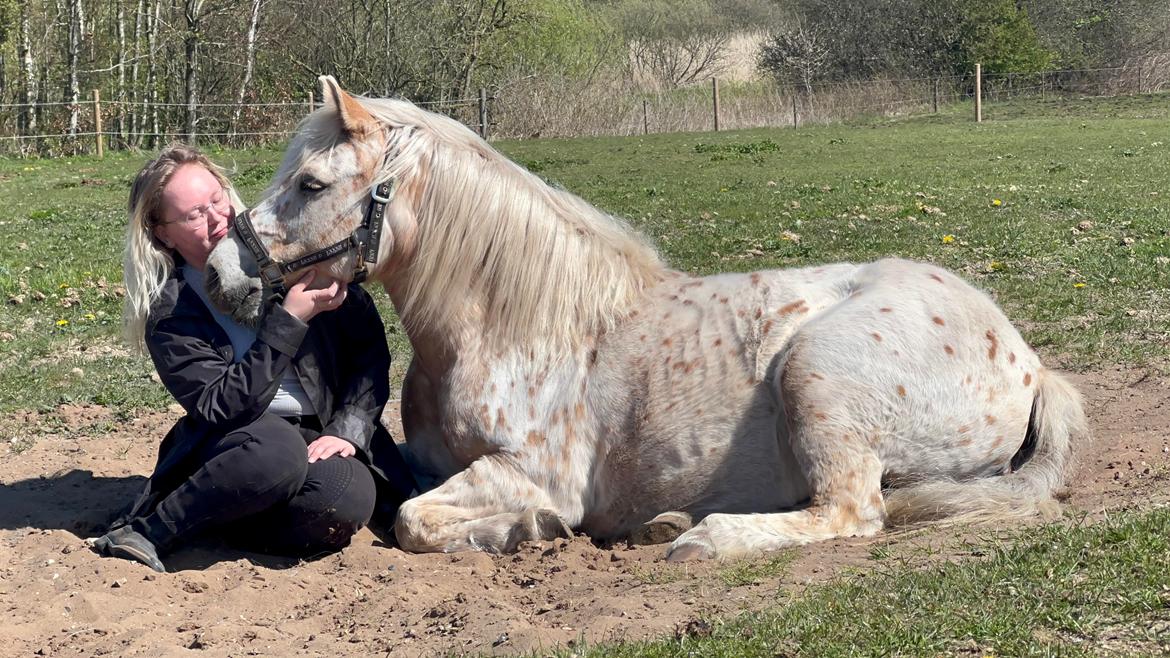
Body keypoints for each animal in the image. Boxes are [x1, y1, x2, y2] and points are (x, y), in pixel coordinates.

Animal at [203, 76, 1085, 557]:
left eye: (312, 184)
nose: (219, 274)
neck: (520, 327)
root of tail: (1027, 359)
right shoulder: (426, 462)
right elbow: (403, 502)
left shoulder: (531, 473)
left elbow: (417, 522)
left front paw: (525, 531)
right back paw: (664, 522)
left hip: (817, 374)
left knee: (852, 512)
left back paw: (702, 538)